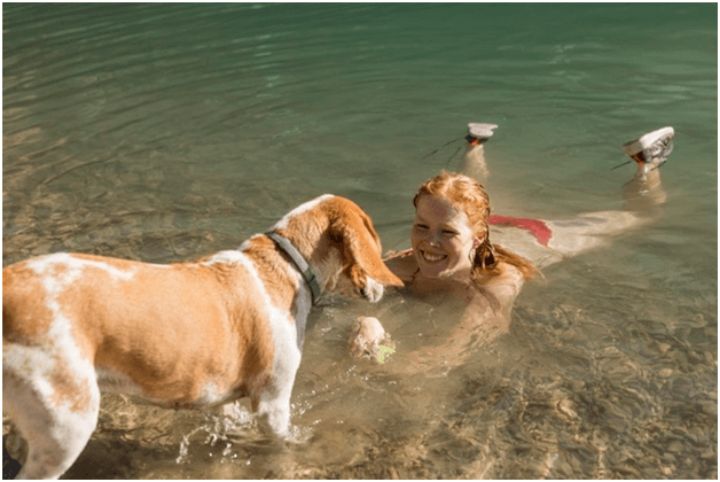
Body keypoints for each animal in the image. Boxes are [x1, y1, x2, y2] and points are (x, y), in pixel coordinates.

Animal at [2, 193, 402, 478]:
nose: (383, 291)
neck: (285, 266)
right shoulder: (272, 403)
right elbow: (287, 443)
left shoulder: (226, 398)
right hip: (67, 425)